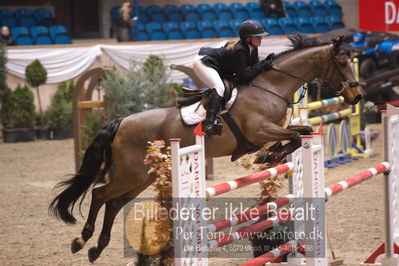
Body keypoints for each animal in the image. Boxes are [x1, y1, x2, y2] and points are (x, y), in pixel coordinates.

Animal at [48, 32, 364, 262]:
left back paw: (96, 248)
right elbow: (295, 137)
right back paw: (81, 240)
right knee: (101, 194)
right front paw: (268, 154)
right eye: (342, 64)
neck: (270, 87)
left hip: (142, 177)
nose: (358, 96)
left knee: (113, 203)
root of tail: (121, 121)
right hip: (131, 173)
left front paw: (271, 154)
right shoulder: (258, 130)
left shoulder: (274, 129)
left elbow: (302, 132)